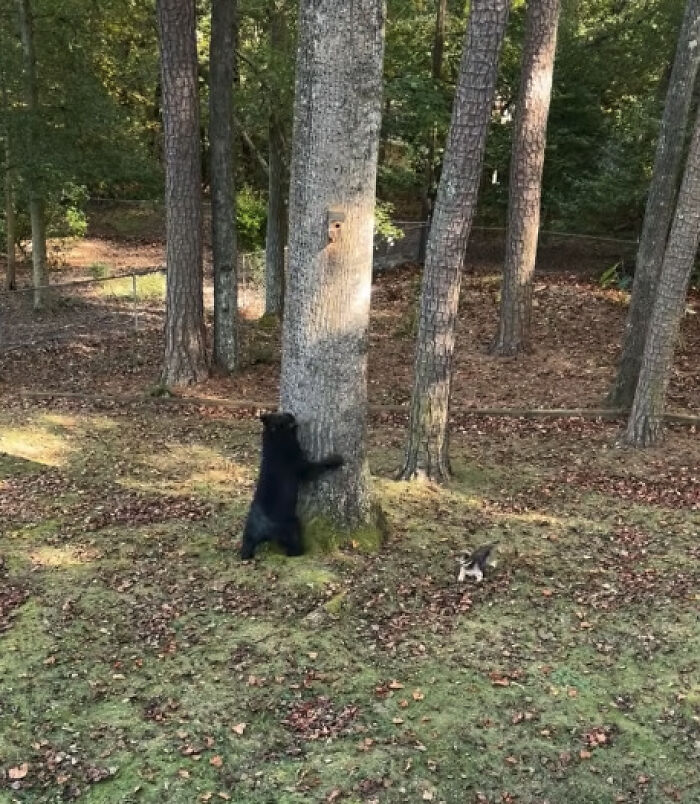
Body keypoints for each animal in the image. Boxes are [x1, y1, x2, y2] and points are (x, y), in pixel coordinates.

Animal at [240, 411, 344, 559]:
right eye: (283, 416)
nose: (290, 413)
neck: (274, 439)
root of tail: (264, 530)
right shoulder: (303, 467)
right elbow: (320, 465)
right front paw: (336, 459)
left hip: (249, 533)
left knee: (246, 547)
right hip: (292, 528)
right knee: (293, 549)